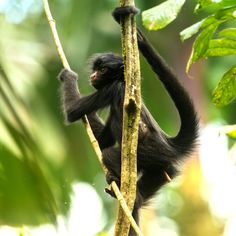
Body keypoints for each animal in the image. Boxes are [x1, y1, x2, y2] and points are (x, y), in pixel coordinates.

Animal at [58, 5, 198, 236]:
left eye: (103, 70)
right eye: (95, 69)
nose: (93, 76)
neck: (125, 82)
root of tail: (168, 143)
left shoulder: (112, 89)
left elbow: (73, 112)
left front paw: (68, 76)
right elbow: (102, 139)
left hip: (150, 152)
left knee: (110, 155)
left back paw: (123, 190)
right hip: (163, 165)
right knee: (157, 179)